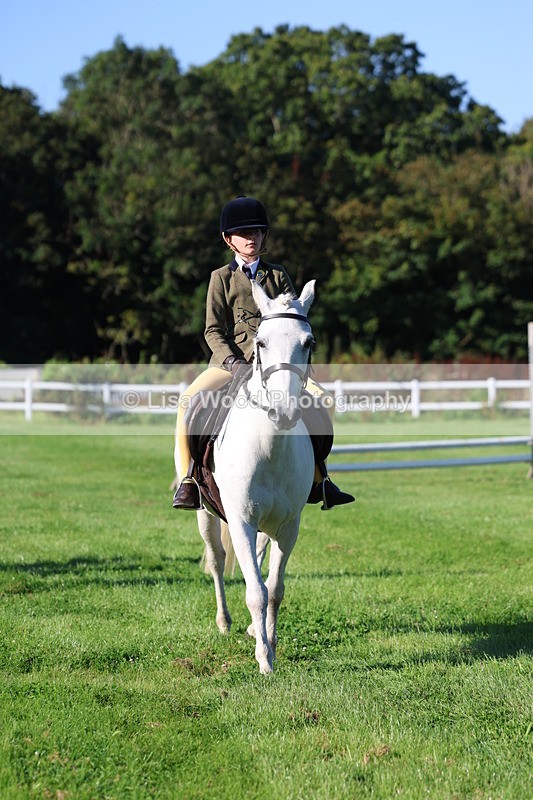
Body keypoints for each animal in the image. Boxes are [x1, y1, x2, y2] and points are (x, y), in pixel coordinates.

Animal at [191, 279, 317, 674]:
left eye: (309, 343)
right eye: (260, 342)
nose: (284, 411)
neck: (270, 448)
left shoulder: (289, 527)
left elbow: (273, 590)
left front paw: (270, 645)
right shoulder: (241, 521)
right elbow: (255, 592)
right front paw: (264, 661)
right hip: (205, 512)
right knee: (216, 559)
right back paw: (225, 622)